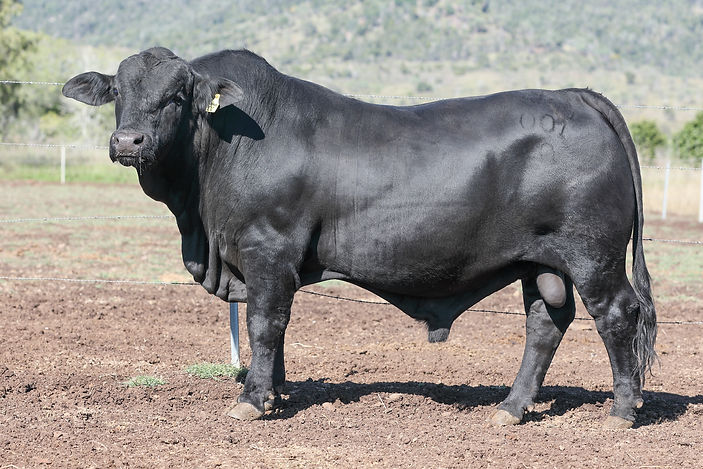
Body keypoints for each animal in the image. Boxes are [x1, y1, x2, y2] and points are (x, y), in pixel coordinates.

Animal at [62, 47, 657, 428]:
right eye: (118, 93)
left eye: (178, 95)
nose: (128, 141)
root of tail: (574, 96)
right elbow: (276, 330)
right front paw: (277, 392)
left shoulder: (267, 250)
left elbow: (263, 324)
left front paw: (253, 400)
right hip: (541, 262)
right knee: (546, 323)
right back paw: (511, 409)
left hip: (593, 255)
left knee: (616, 314)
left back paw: (622, 411)